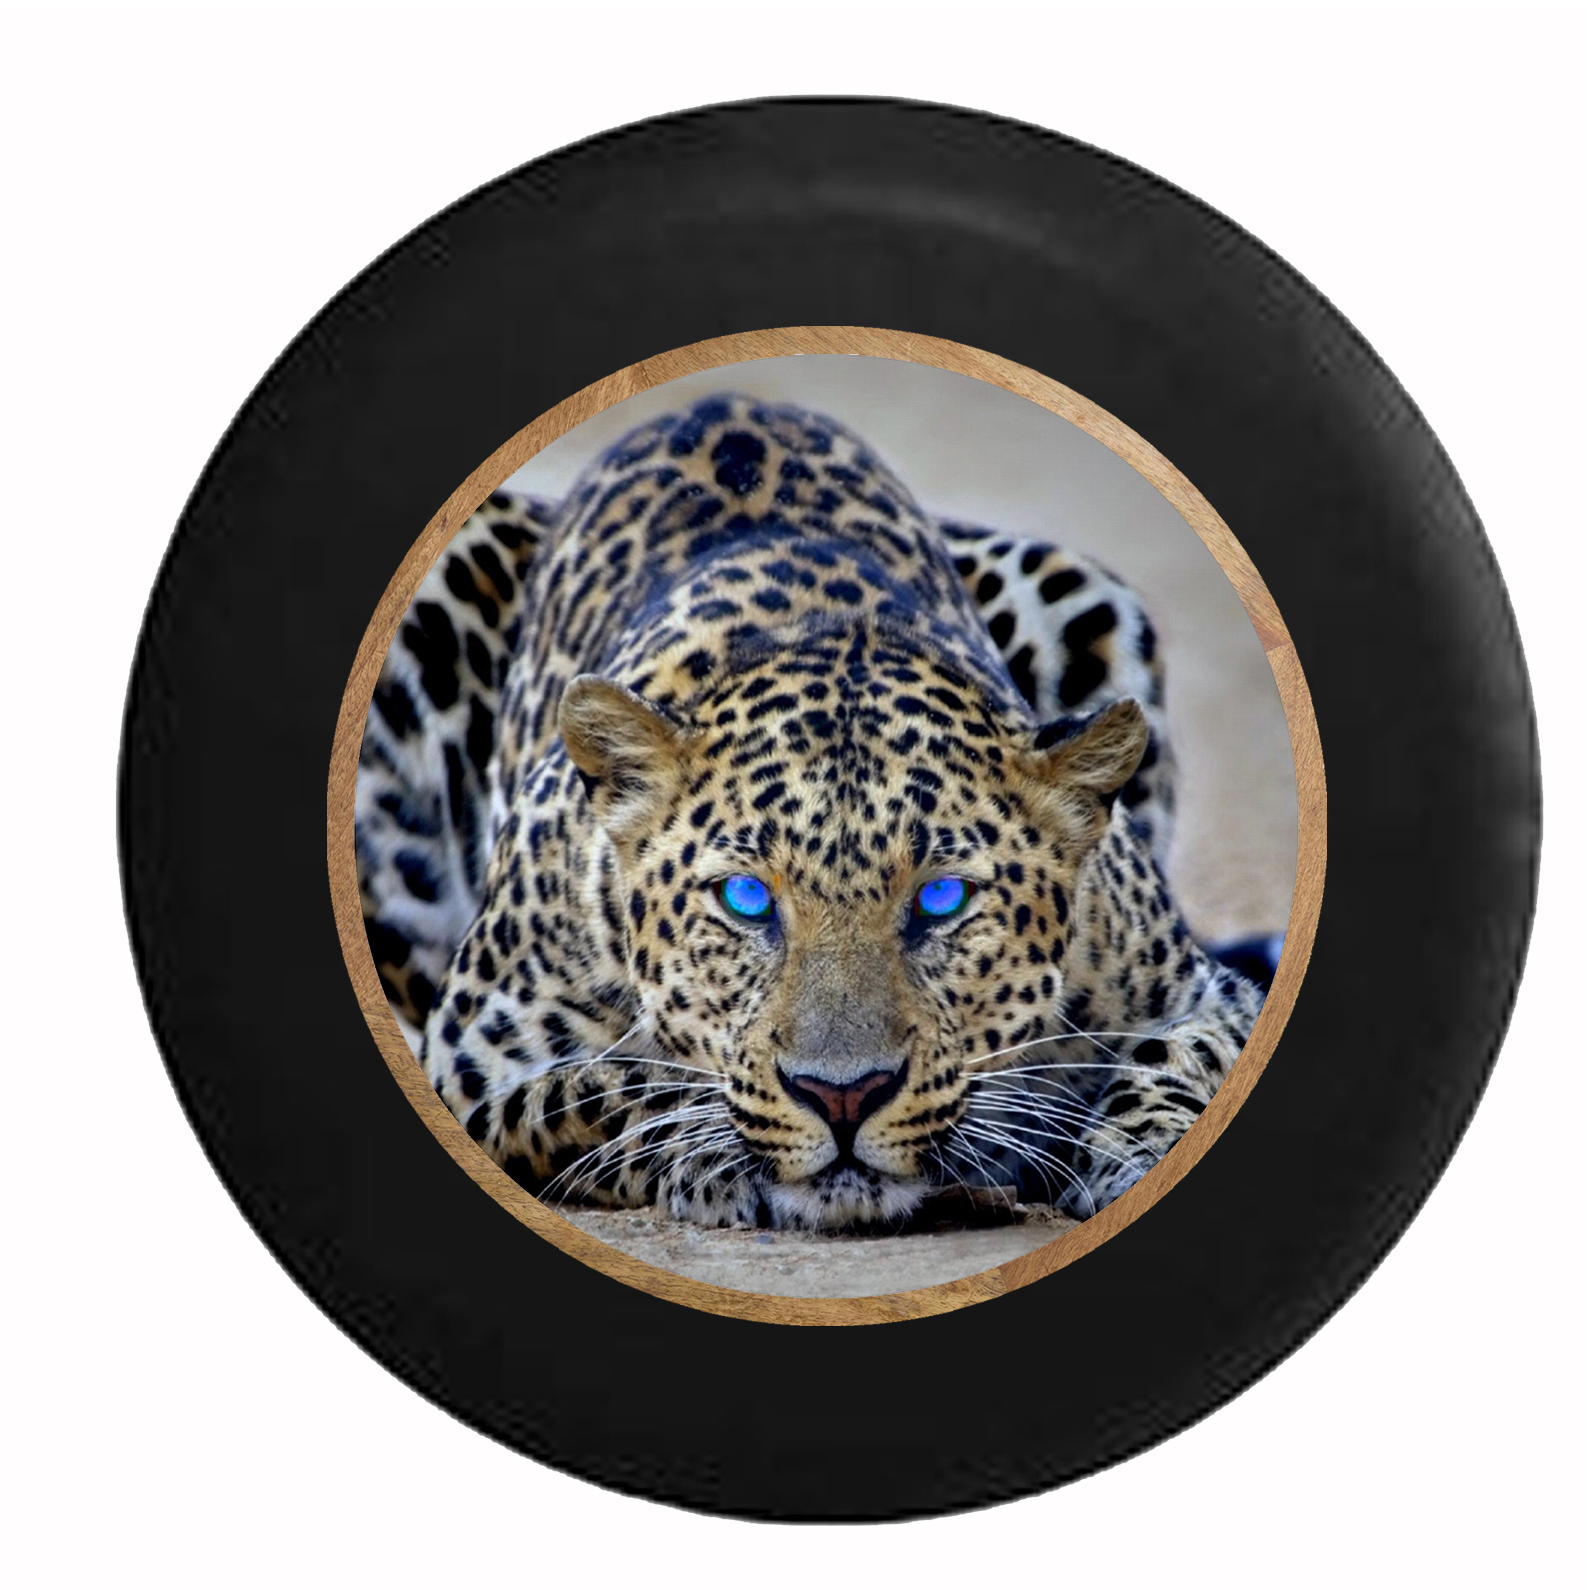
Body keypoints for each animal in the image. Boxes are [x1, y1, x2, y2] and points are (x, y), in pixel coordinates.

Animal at [356, 394, 1271, 1231]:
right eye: (746, 899)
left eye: (941, 899)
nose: (844, 1097)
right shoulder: (471, 1062)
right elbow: (607, 1086)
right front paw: (708, 1152)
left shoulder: (1201, 996)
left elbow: (1176, 1057)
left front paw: (1140, 1153)